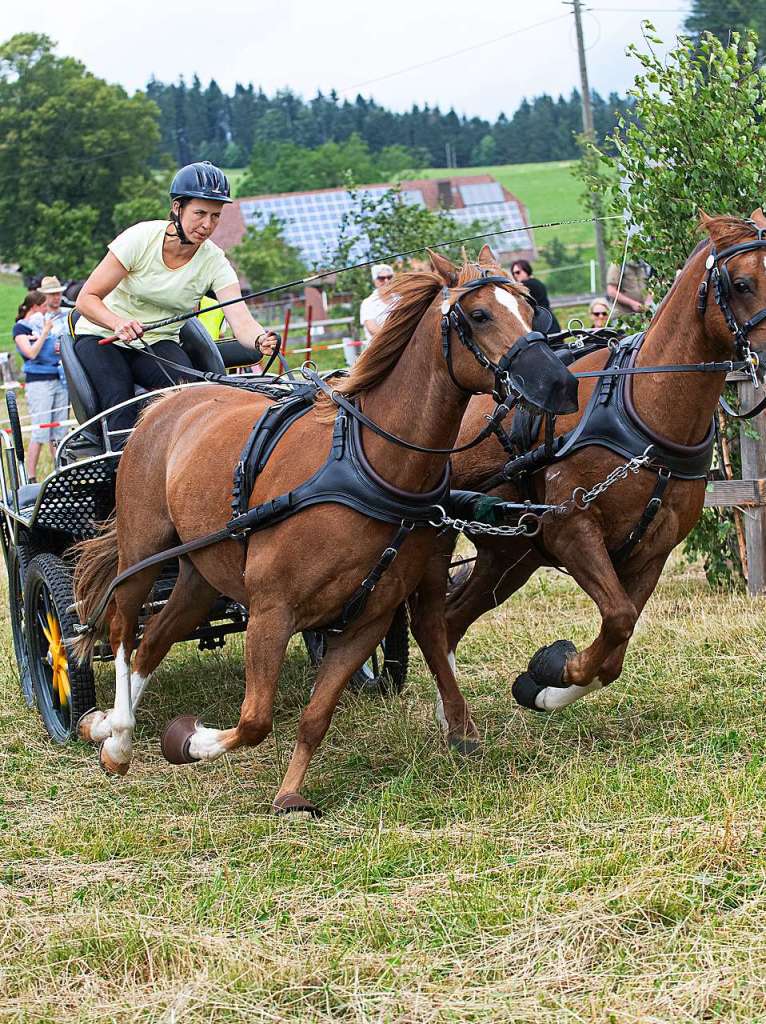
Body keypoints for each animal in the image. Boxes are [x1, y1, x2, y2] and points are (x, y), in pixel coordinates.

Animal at [73, 249, 569, 815]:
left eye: (531, 311)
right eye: (480, 315)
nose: (560, 383)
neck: (367, 462)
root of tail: (166, 402)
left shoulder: (367, 621)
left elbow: (314, 716)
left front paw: (290, 794)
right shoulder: (271, 611)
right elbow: (255, 720)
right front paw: (191, 740)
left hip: (202, 572)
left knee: (153, 641)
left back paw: (108, 730)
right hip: (143, 549)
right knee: (121, 632)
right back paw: (116, 735)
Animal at [409, 211, 766, 741]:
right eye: (742, 283)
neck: (641, 409)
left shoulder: (652, 551)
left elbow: (616, 649)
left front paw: (543, 683)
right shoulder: (572, 530)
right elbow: (617, 618)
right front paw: (551, 669)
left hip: (511, 556)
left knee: (452, 619)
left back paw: (449, 709)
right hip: (440, 538)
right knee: (429, 621)